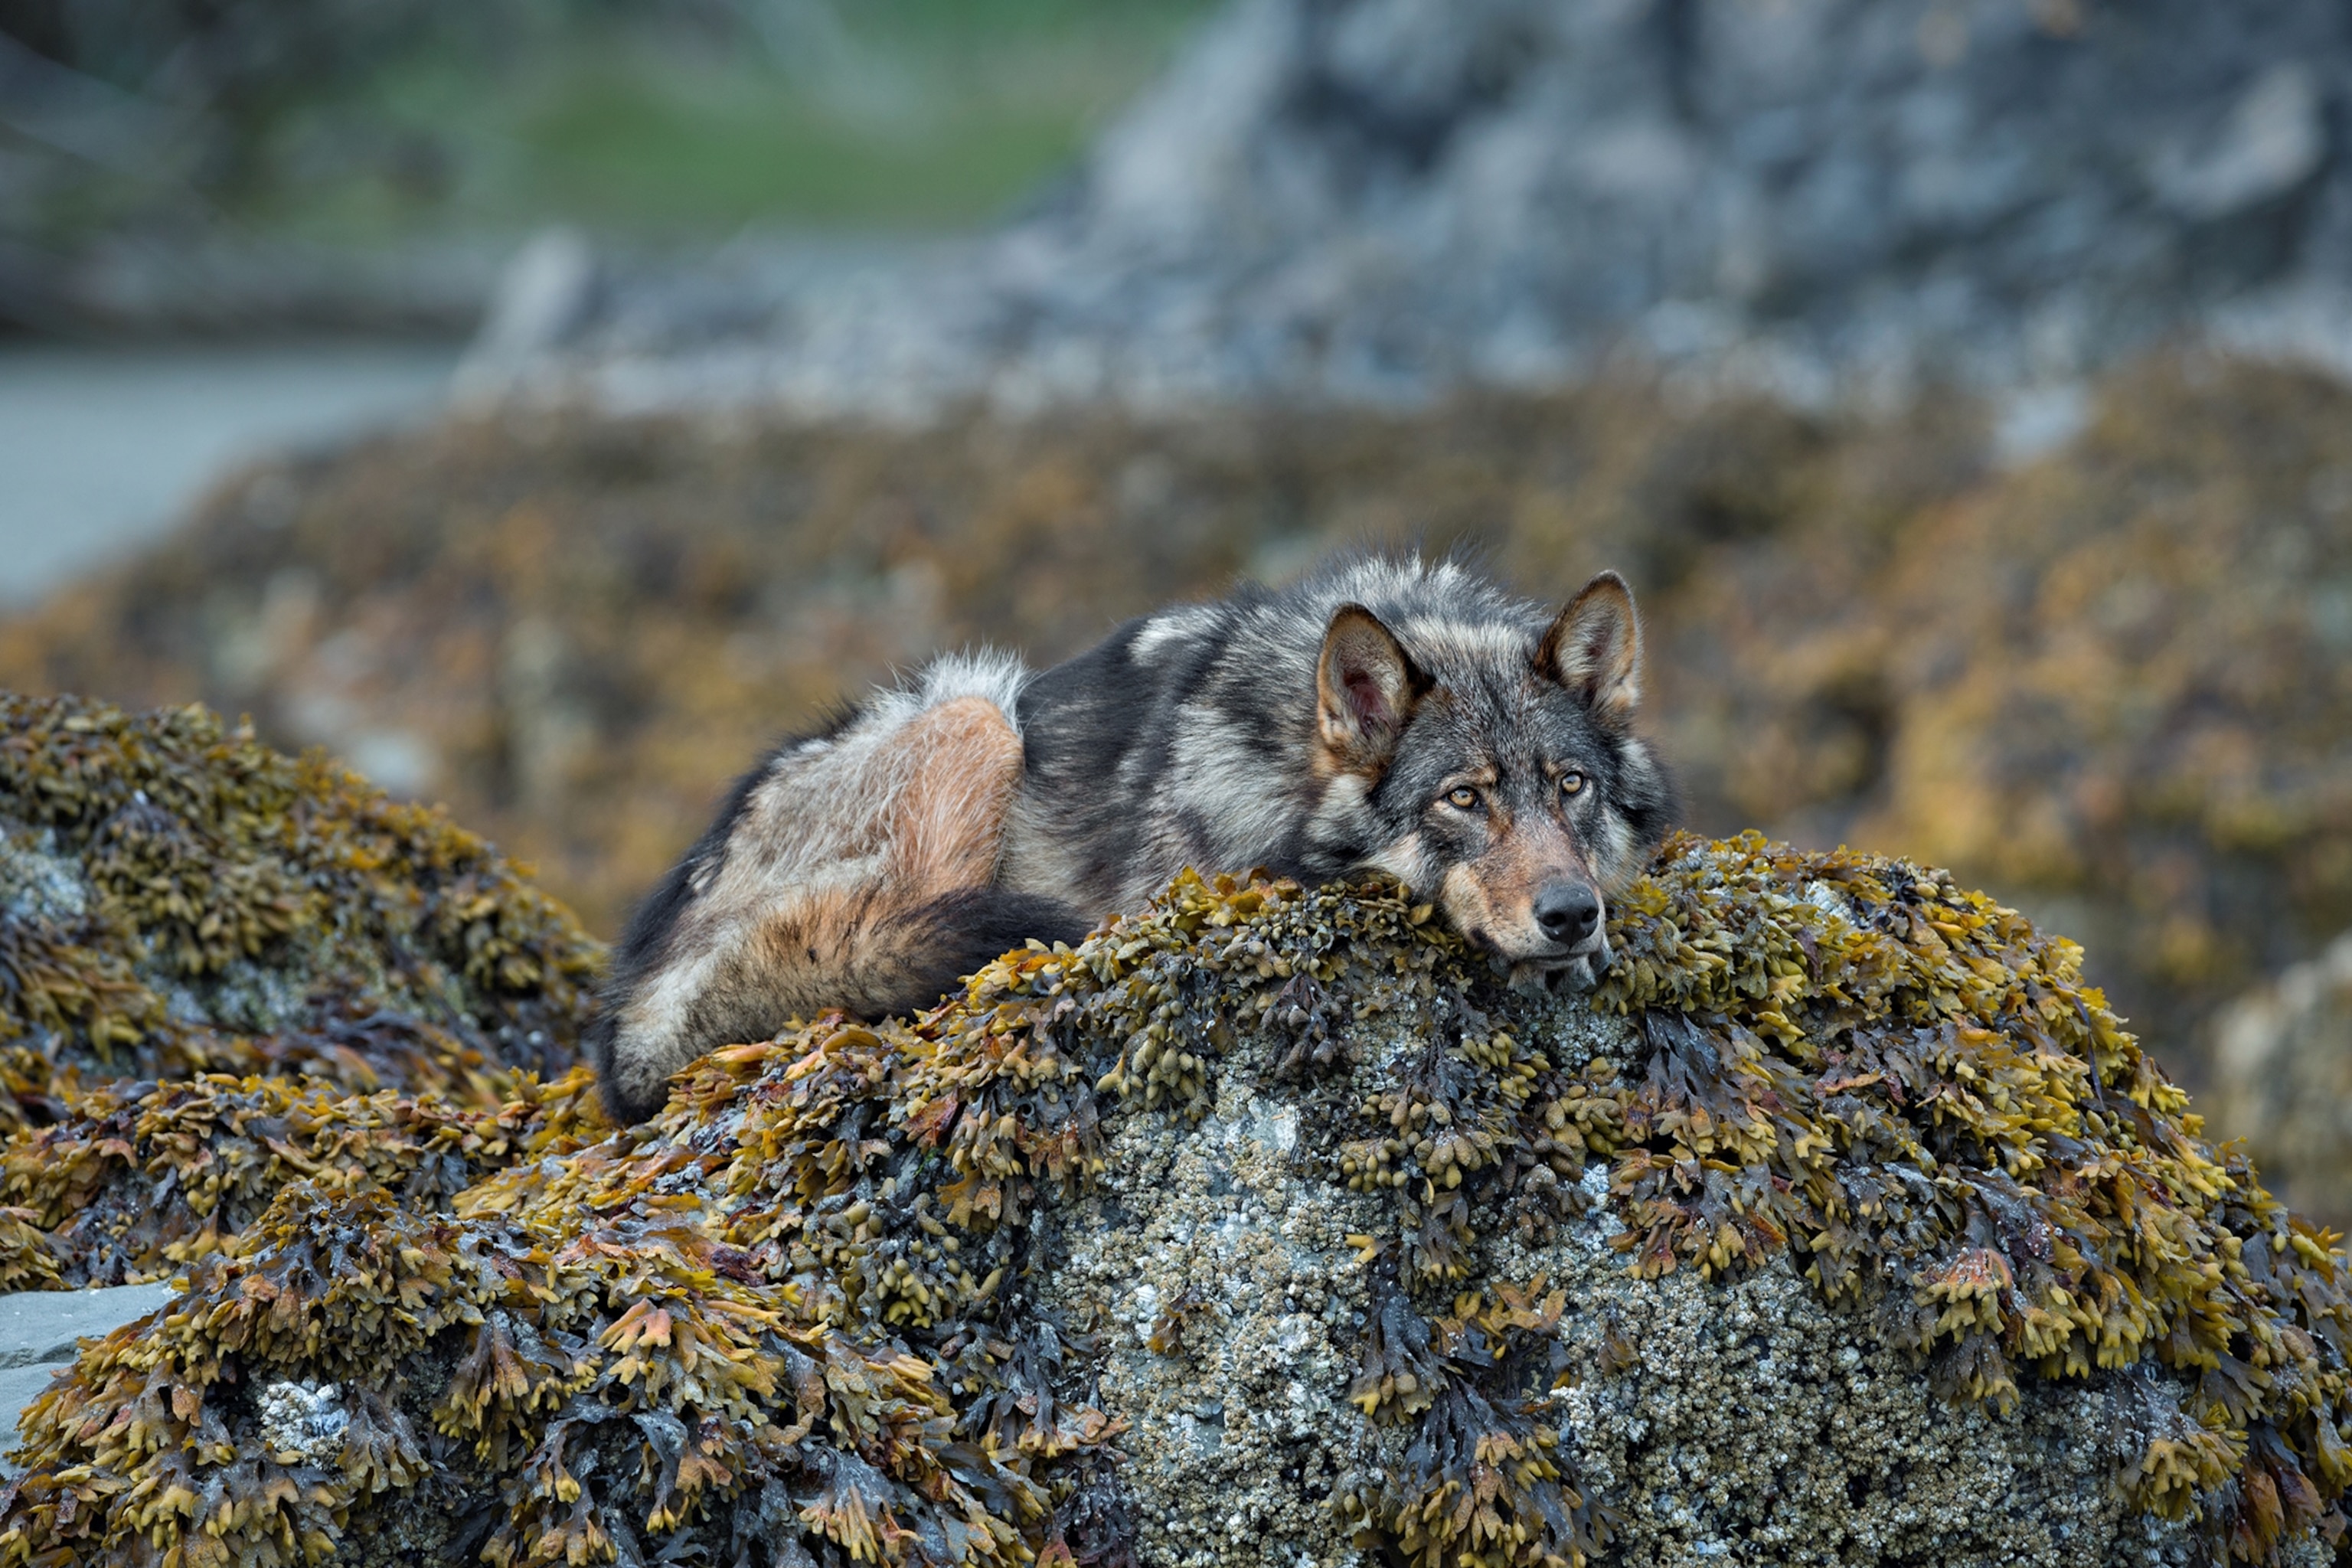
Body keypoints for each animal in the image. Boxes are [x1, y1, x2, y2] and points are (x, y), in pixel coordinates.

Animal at [585, 556, 1676, 1123]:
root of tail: (630, 1003)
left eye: (1570, 785)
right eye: (1463, 798)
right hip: (975, 710)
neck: (1278, 760)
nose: (1571, 915)